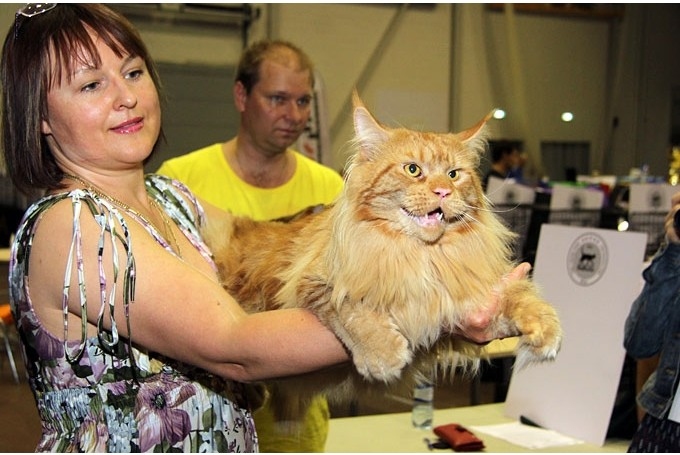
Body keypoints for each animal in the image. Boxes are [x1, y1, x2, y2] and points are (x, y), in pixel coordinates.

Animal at [203, 93, 564, 428]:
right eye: (413, 170)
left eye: (453, 174)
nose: (443, 192)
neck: (423, 254)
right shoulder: (314, 283)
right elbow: (350, 309)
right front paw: (382, 353)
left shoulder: (471, 287)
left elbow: (518, 295)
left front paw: (543, 327)